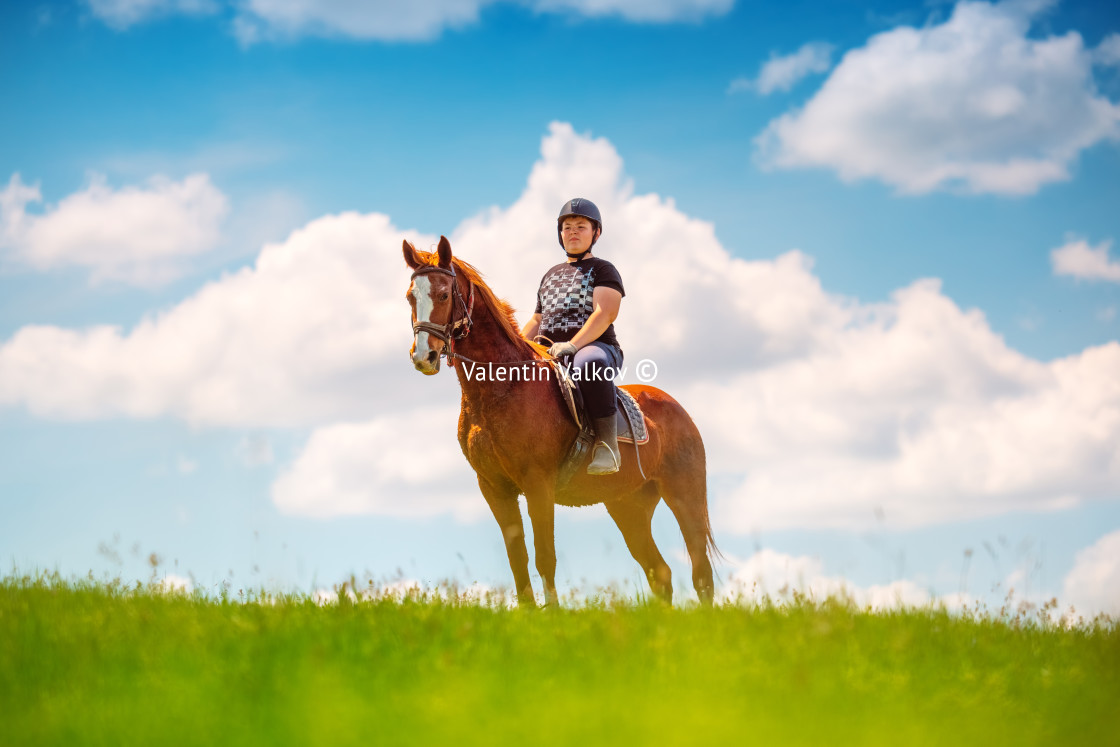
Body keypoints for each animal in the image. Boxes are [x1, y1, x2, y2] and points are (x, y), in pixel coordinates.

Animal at [403, 238, 716, 609]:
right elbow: (518, 558)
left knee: (701, 573)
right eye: (410, 296)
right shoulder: (494, 487)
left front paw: (552, 614)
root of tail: (677, 409)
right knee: (661, 574)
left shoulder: (538, 483)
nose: (423, 357)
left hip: (684, 495)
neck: (503, 385)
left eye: (443, 295)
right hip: (628, 505)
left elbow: (544, 556)